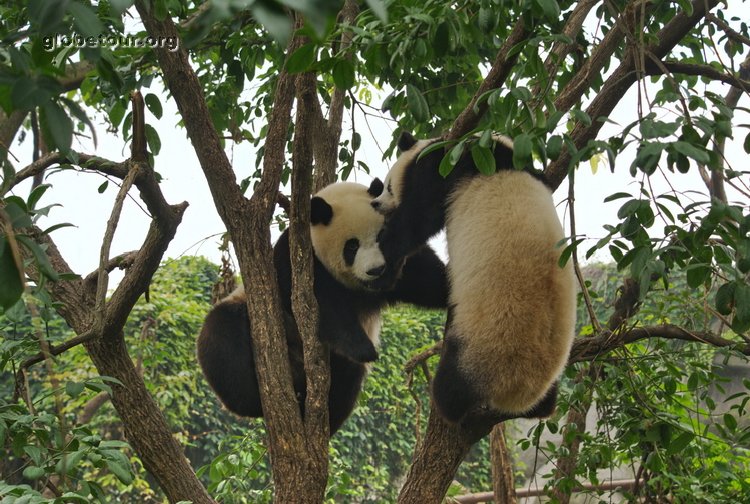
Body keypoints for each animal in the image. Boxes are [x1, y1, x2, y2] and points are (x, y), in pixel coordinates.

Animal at [197, 180, 450, 434]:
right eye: (352, 247)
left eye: (381, 237)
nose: (376, 270)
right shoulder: (299, 263)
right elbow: (325, 311)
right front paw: (365, 348)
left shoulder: (405, 259)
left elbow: (428, 278)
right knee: (222, 335)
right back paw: (255, 398)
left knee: (347, 377)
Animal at [374, 133, 580, 426]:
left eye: (389, 186)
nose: (377, 203)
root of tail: (517, 393)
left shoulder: (445, 170)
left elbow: (418, 218)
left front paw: (386, 245)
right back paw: (541, 406)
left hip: (478, 351)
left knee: (451, 386)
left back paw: (445, 405)